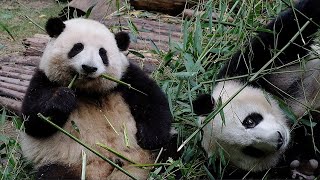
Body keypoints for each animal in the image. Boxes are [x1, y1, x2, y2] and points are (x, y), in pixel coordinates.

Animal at [20, 17, 172, 180]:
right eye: (77, 48)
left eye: (102, 53)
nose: (89, 67)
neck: (88, 91)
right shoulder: (44, 80)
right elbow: (33, 121)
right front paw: (63, 98)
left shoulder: (126, 79)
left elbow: (153, 100)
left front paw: (149, 137)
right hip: (67, 165)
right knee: (53, 174)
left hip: (148, 156)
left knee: (171, 152)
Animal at [194, 0, 320, 178]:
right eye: (252, 151)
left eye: (250, 121)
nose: (279, 139)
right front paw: (304, 166)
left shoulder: (245, 70)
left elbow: (284, 34)